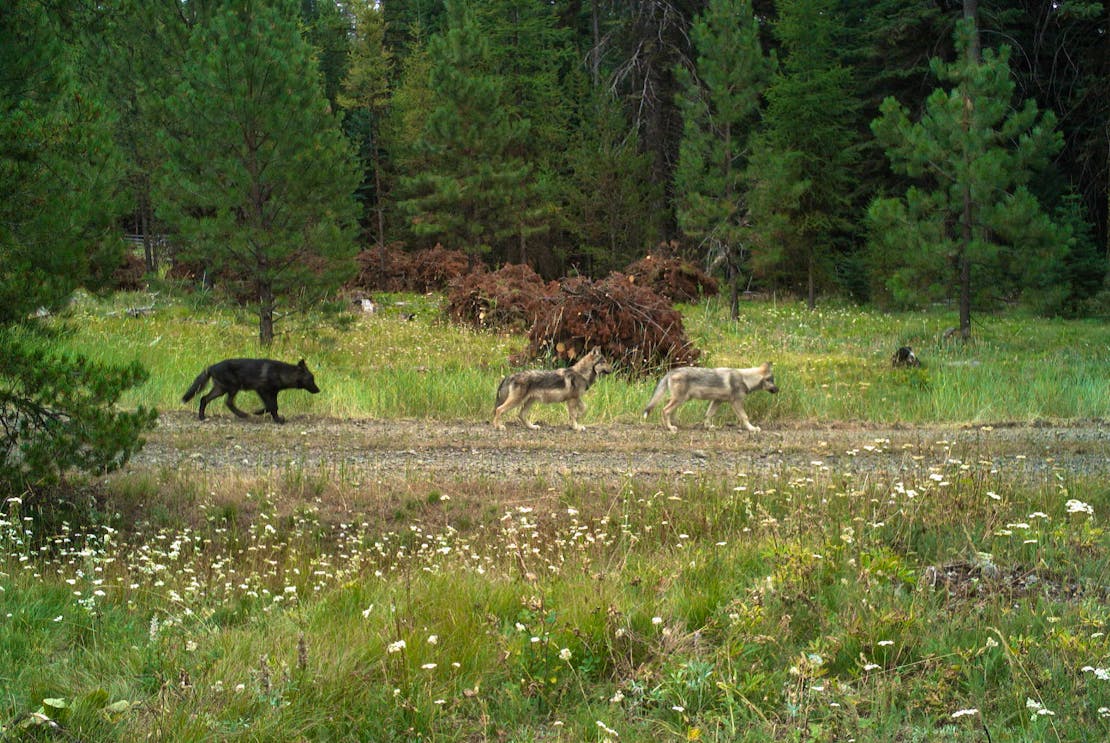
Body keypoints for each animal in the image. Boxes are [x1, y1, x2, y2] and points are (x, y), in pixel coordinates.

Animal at [182, 357, 319, 422]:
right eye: (311, 379)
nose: (319, 390)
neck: (280, 373)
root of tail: (211, 367)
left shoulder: (273, 392)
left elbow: (273, 406)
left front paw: (273, 417)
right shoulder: (262, 390)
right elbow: (272, 406)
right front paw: (273, 418)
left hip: (222, 389)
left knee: (205, 399)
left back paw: (202, 417)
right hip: (231, 388)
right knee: (226, 402)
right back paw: (242, 414)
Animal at [643, 362, 781, 430]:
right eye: (772, 381)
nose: (778, 389)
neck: (745, 378)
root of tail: (671, 371)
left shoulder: (717, 401)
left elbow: (708, 415)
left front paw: (708, 427)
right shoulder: (736, 402)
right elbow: (745, 417)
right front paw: (752, 429)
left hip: (682, 399)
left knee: (667, 407)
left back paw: (674, 423)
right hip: (680, 399)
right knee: (665, 410)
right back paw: (670, 428)